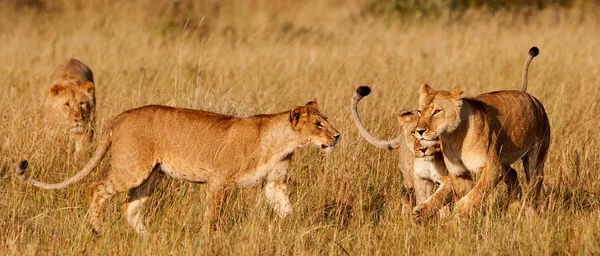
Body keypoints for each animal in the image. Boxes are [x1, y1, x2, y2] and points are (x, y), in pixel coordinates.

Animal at [16, 101, 340, 235]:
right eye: (318, 124)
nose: (337, 136)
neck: (281, 142)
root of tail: (120, 116)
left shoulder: (274, 184)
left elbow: (288, 209)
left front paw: (301, 231)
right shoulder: (219, 181)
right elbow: (213, 217)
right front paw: (212, 239)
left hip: (152, 175)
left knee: (130, 206)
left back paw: (148, 238)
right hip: (132, 167)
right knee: (97, 188)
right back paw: (98, 229)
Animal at [412, 46, 548, 218]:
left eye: (437, 111)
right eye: (419, 111)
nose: (419, 131)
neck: (453, 138)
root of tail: (528, 95)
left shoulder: (492, 167)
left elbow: (476, 193)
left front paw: (460, 211)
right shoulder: (459, 173)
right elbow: (467, 193)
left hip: (535, 158)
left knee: (534, 184)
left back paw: (530, 212)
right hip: (503, 159)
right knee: (513, 176)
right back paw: (513, 208)